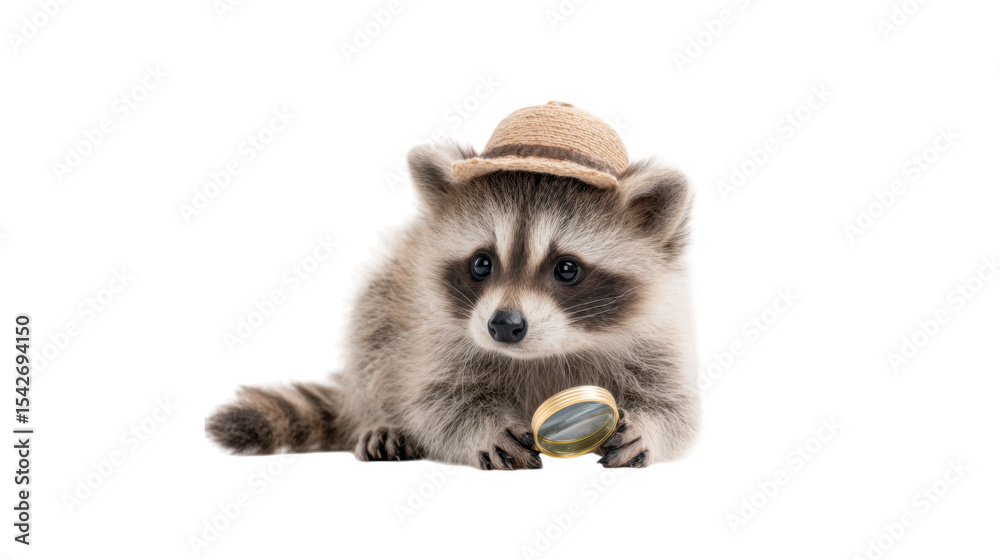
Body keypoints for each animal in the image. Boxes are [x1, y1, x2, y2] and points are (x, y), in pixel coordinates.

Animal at [206, 142, 699, 469]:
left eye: (567, 269)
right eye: (482, 263)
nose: (503, 326)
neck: (546, 350)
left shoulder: (655, 334)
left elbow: (677, 408)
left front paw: (649, 427)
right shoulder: (436, 331)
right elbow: (437, 402)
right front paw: (480, 426)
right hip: (387, 298)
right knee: (372, 341)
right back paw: (381, 419)